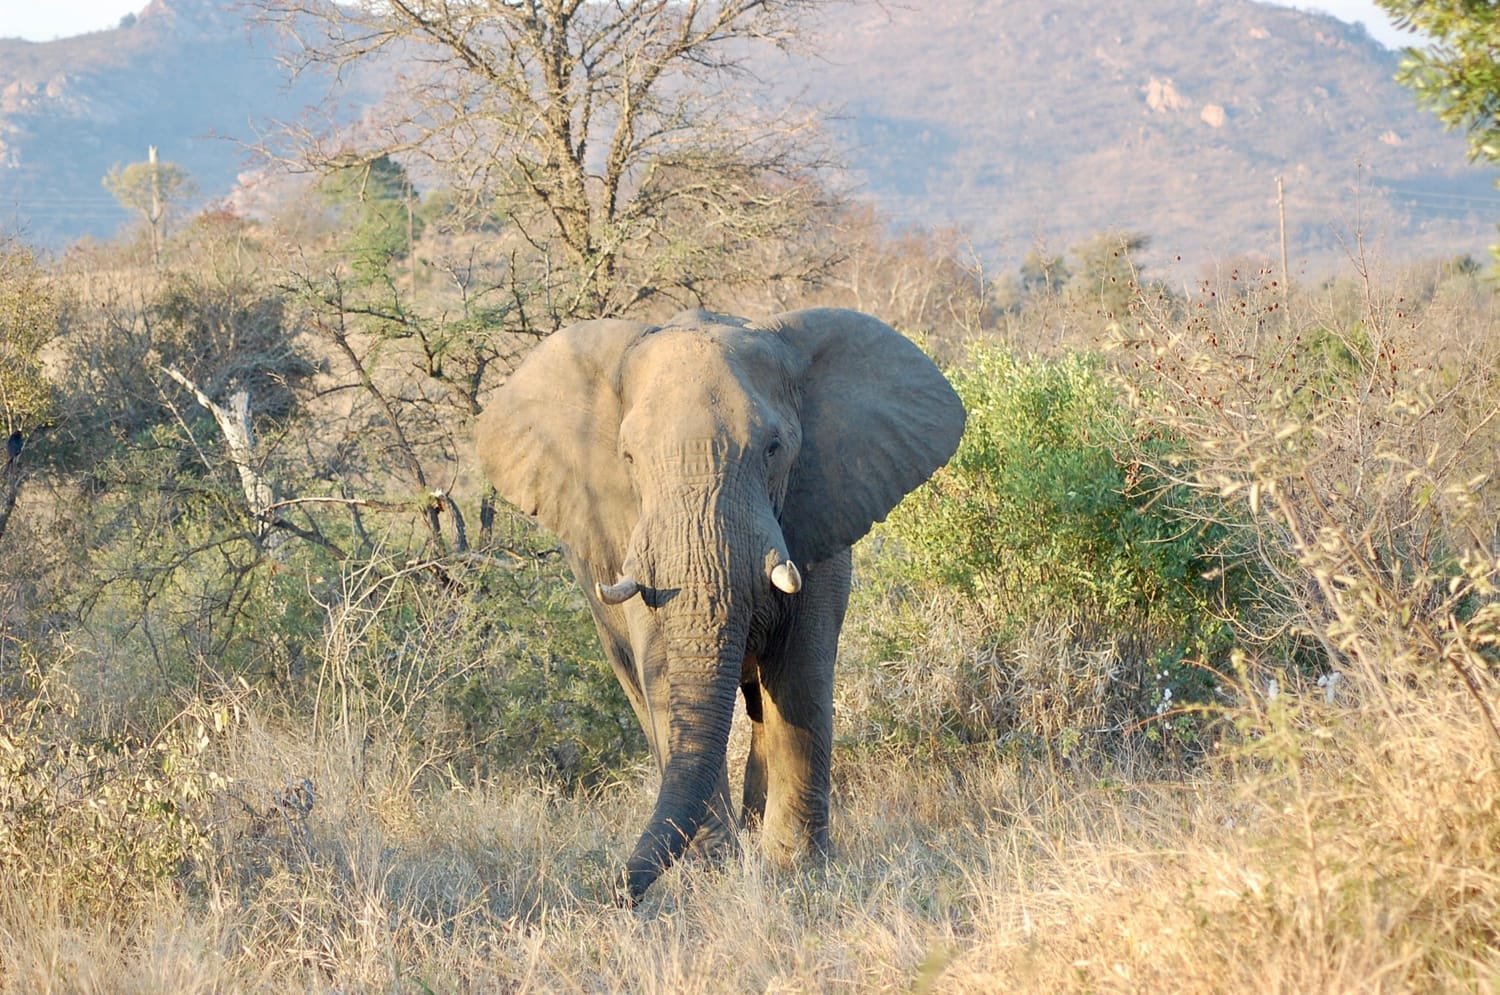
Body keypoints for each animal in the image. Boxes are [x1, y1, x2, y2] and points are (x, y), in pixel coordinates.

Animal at [475, 307, 965, 902]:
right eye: (628, 457)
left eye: (774, 449)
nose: (614, 892)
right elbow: (665, 676)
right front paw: (713, 873)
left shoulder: (816, 514)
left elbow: (799, 676)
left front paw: (794, 872)